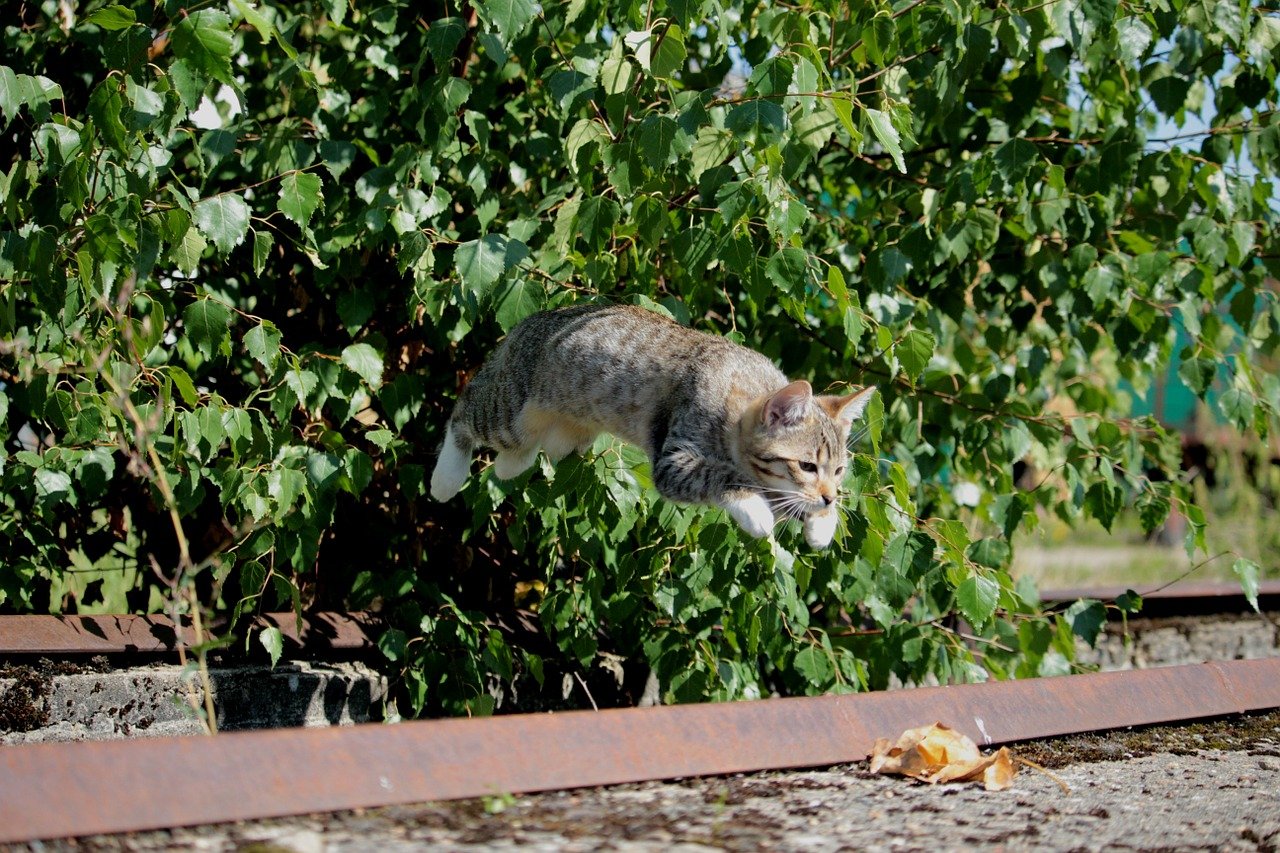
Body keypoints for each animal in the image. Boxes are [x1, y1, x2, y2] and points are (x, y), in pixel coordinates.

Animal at [430, 302, 880, 548]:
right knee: (466, 409)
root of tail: (526, 322)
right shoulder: (674, 457)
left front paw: (822, 523)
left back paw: (509, 467)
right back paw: (446, 478)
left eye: (839, 470)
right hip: (510, 410)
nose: (830, 498)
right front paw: (756, 510)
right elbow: (721, 476)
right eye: (807, 466)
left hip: (566, 431)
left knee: (527, 450)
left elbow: (782, 495)